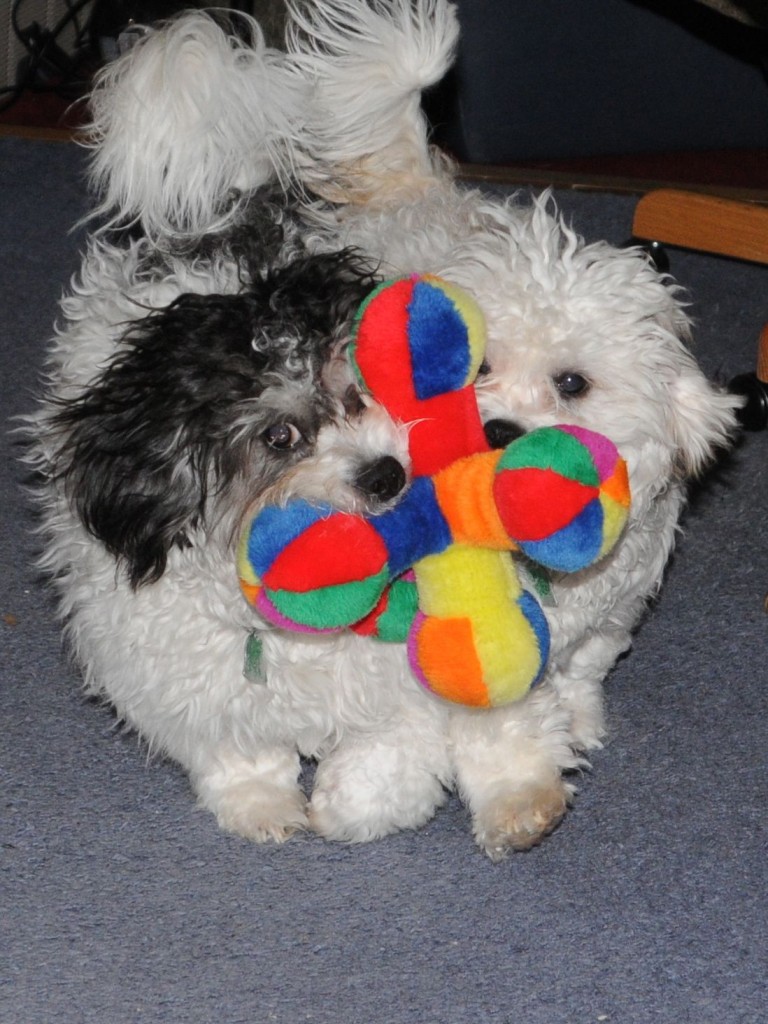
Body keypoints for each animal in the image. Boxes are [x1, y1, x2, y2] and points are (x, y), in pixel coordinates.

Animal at [30, 0, 741, 856]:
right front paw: (266, 806)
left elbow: (475, 722)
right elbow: (238, 749)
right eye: (278, 439)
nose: (387, 474)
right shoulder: (187, 677)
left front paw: (473, 795)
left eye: (572, 384)